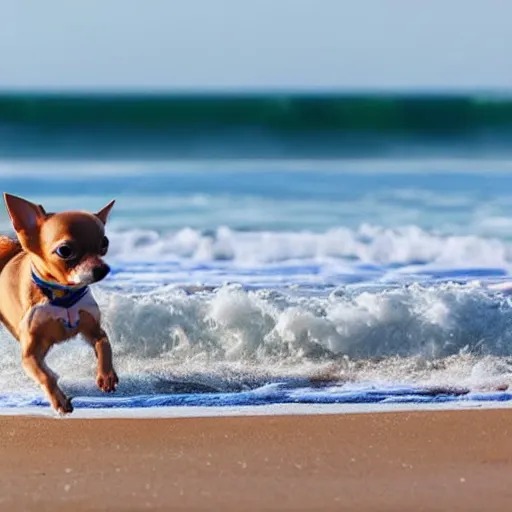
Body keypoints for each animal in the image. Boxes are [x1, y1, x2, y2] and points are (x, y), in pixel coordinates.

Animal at [0, 194, 118, 414]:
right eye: (65, 251)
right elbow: (45, 376)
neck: (63, 296)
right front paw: (59, 401)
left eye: (104, 243)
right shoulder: (29, 354)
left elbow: (104, 345)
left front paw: (106, 377)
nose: (103, 269)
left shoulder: (93, 330)